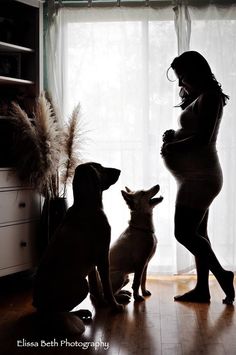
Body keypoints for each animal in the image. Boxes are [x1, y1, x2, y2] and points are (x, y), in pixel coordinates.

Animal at [33, 163, 123, 336]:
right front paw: (114, 305)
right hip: (82, 285)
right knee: (58, 311)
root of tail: (40, 309)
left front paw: (102, 303)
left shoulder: (92, 265)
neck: (85, 204)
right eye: (100, 168)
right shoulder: (103, 257)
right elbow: (107, 285)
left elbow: (97, 285)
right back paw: (77, 314)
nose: (119, 171)